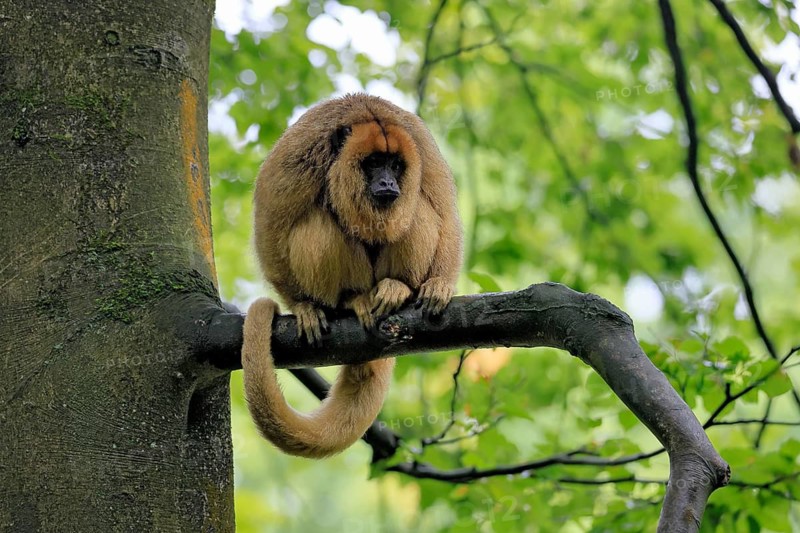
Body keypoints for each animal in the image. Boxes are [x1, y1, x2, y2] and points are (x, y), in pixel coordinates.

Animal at [241, 93, 463, 459]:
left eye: (395, 165)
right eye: (373, 163)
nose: (388, 183)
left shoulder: (422, 147)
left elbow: (444, 211)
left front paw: (439, 285)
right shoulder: (300, 153)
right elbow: (271, 226)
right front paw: (303, 306)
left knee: (418, 208)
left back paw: (397, 288)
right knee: (318, 219)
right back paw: (352, 298)